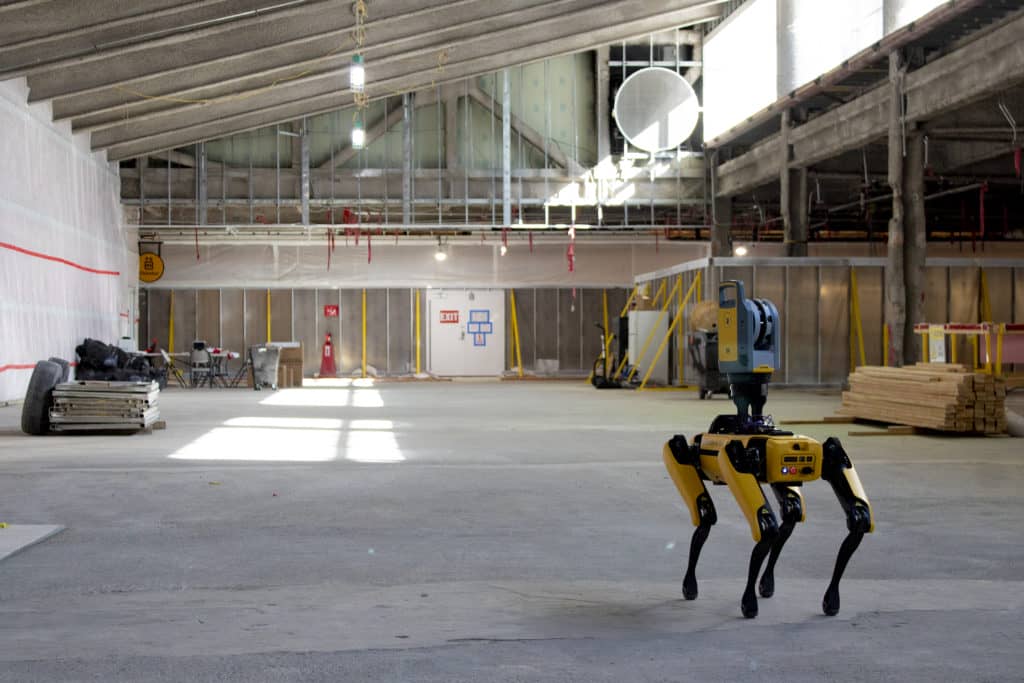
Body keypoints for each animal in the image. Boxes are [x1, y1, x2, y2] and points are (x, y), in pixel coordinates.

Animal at [663, 278, 872, 618]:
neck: (757, 433)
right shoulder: (736, 454)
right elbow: (764, 525)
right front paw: (747, 602)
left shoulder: (826, 455)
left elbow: (859, 517)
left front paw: (831, 599)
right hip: (687, 452)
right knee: (707, 512)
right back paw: (692, 584)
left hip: (784, 475)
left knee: (793, 511)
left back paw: (766, 583)